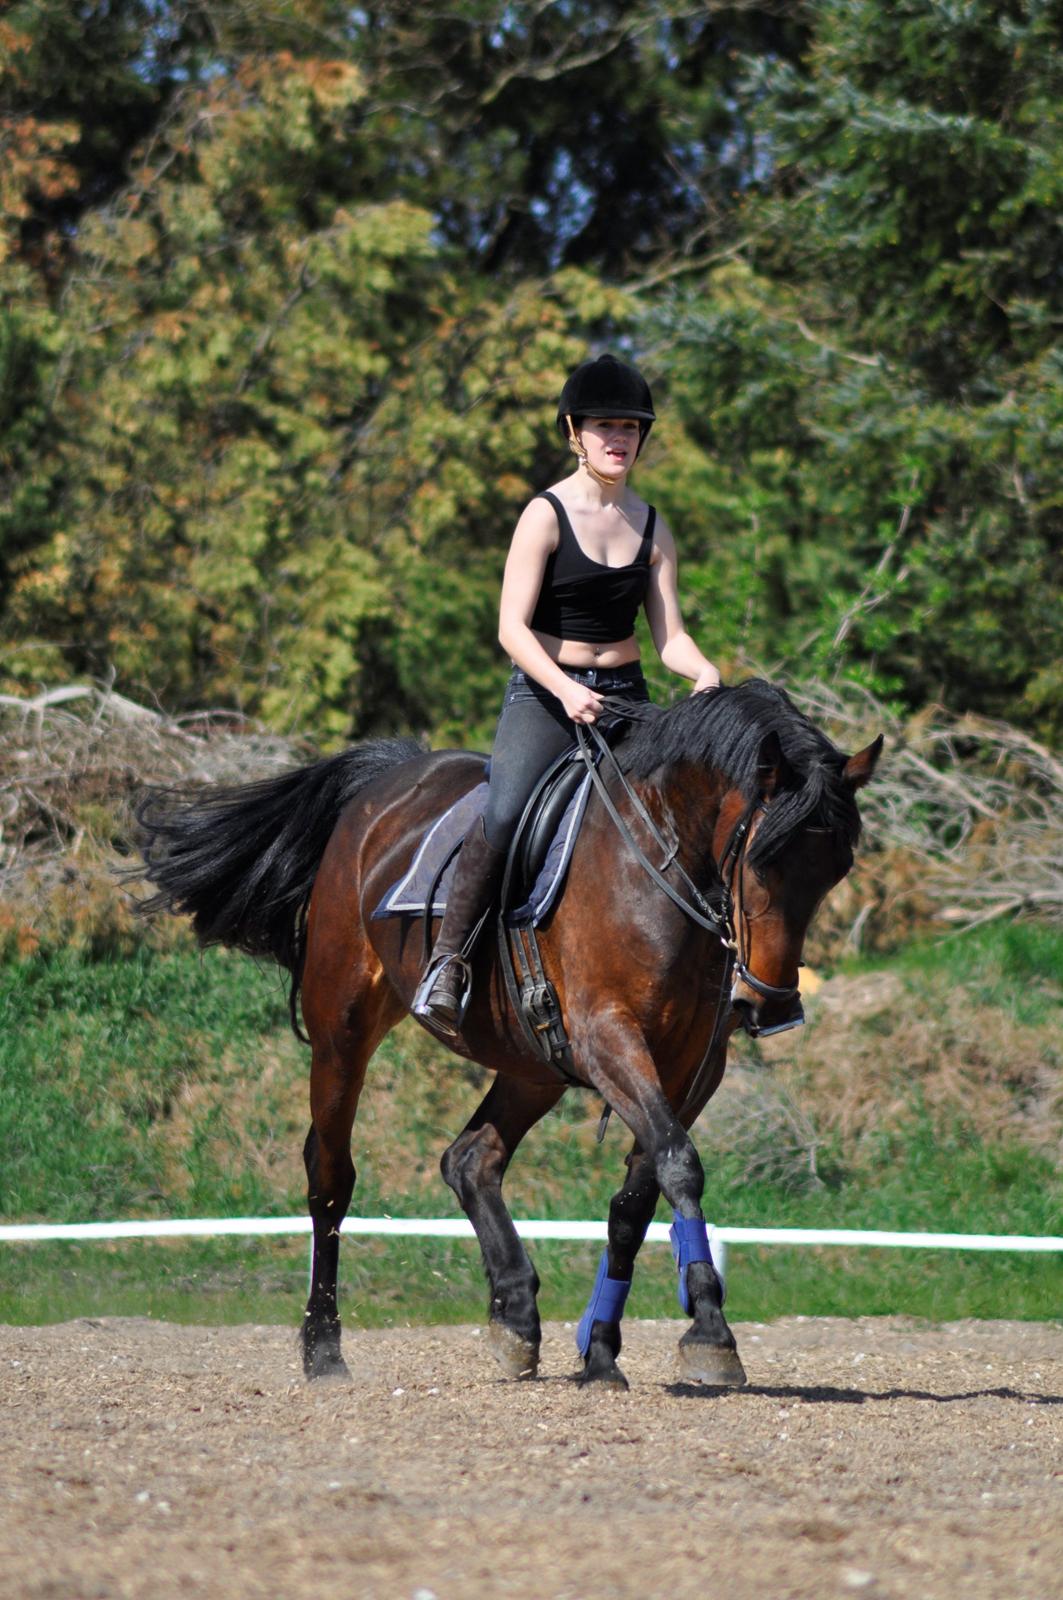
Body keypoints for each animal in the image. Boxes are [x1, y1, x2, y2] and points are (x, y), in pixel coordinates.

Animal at [135, 681, 877, 1395]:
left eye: (836, 868)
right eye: (761, 858)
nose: (769, 1002)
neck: (663, 868)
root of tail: (388, 779)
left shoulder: (695, 1065)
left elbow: (637, 1198)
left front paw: (600, 1353)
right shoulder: (609, 1038)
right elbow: (678, 1165)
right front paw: (710, 1334)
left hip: (532, 1062)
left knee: (470, 1159)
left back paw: (516, 1318)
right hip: (342, 1028)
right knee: (331, 1176)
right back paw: (324, 1351)